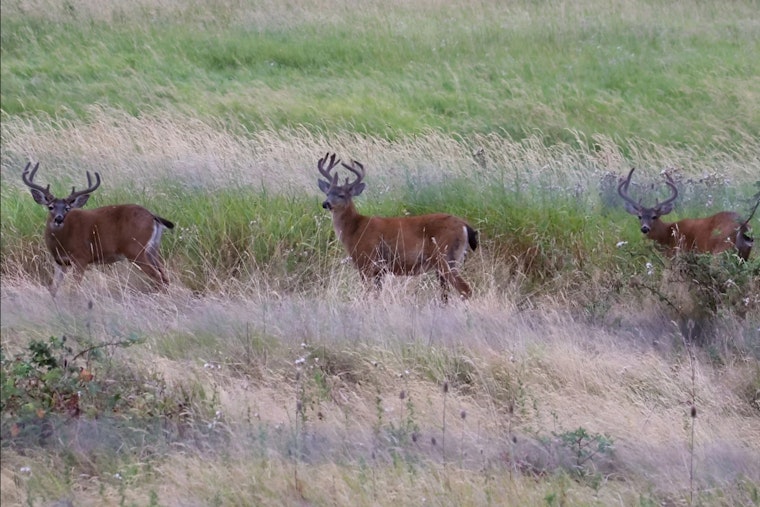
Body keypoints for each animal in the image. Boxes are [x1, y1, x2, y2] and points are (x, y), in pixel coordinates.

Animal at [22, 162, 175, 296]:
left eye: (67, 208)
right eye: (50, 207)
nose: (59, 219)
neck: (62, 243)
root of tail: (153, 216)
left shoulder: (81, 257)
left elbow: (74, 289)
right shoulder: (60, 262)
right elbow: (53, 289)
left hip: (135, 249)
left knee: (158, 277)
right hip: (152, 250)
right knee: (165, 276)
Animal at [317, 153, 478, 301]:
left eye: (342, 195)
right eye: (327, 193)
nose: (326, 203)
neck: (354, 229)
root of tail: (465, 225)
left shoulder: (366, 262)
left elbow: (368, 294)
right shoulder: (380, 270)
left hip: (444, 255)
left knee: (465, 289)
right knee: (446, 294)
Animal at [618, 168, 757, 260]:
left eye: (654, 216)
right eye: (639, 216)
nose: (645, 228)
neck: (668, 235)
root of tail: (743, 226)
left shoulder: (678, 254)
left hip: (720, 250)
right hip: (744, 256)